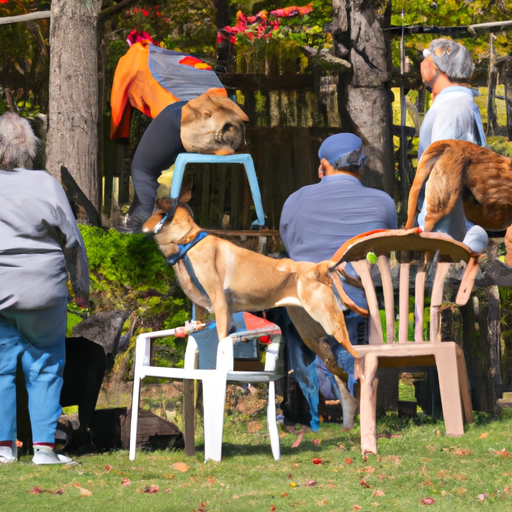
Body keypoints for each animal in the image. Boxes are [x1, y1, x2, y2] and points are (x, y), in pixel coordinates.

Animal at [142, 194, 366, 430]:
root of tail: (318, 268)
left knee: (355, 360)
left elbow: (220, 346)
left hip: (331, 324)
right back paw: (349, 422)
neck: (187, 241)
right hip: (313, 337)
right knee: (342, 381)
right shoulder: (203, 313)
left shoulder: (220, 307)